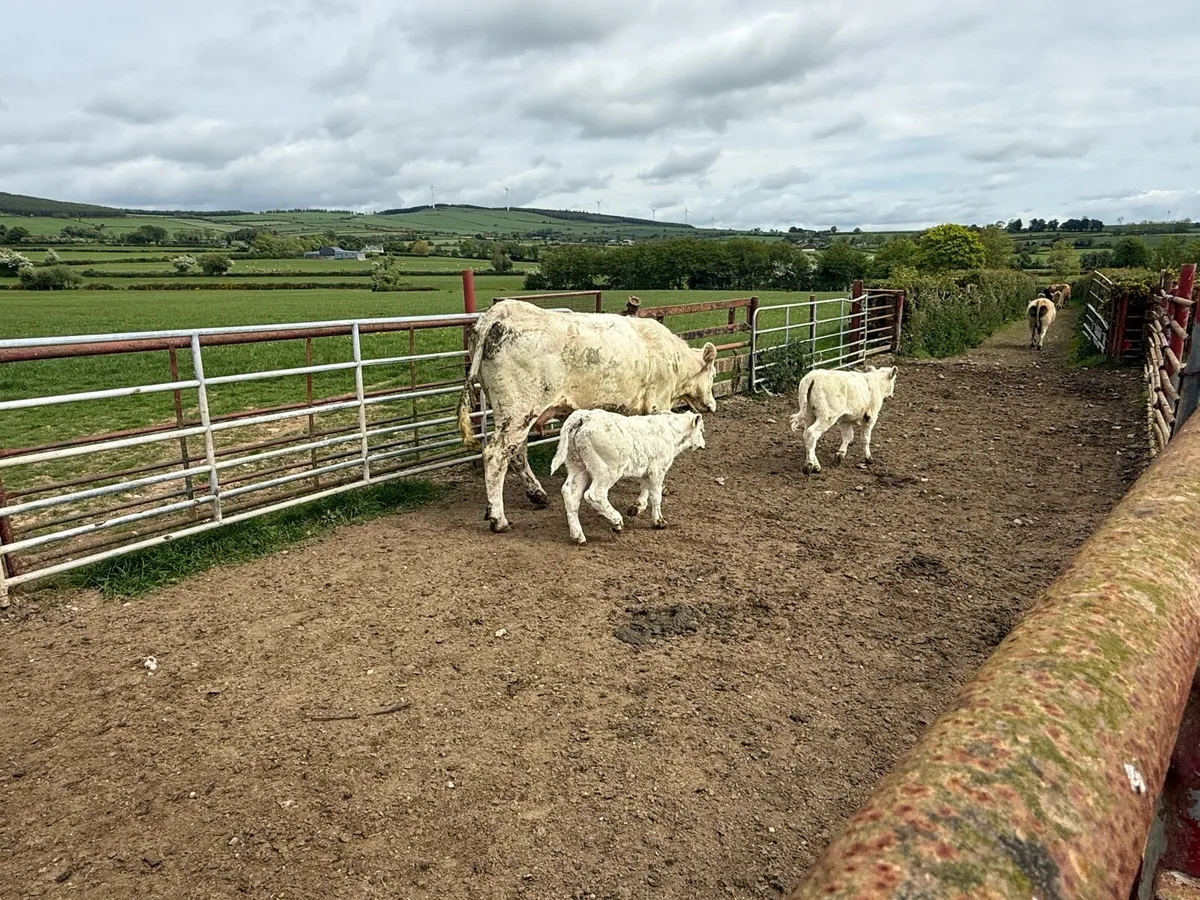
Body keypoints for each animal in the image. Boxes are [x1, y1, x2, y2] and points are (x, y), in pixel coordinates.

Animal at [549, 409, 705, 544]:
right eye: (702, 430)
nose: (703, 444)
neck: (671, 432)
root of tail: (585, 416)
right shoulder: (658, 470)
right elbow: (656, 496)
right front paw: (659, 521)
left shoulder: (647, 469)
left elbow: (645, 488)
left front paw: (637, 507)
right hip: (608, 470)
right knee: (594, 495)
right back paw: (617, 521)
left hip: (578, 466)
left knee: (570, 494)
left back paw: (578, 535)